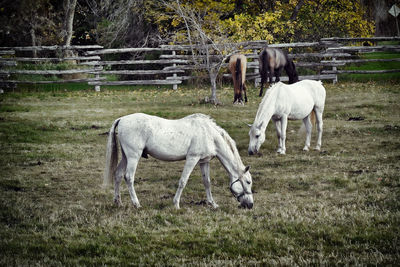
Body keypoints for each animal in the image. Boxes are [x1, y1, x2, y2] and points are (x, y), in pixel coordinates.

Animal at [103, 112, 253, 209]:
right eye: (248, 182)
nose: (250, 205)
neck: (208, 134)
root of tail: (122, 119)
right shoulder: (192, 158)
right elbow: (183, 181)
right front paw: (176, 204)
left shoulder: (204, 161)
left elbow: (207, 182)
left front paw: (213, 204)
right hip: (133, 156)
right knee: (129, 177)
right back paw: (136, 204)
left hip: (126, 157)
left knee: (118, 175)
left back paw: (118, 202)